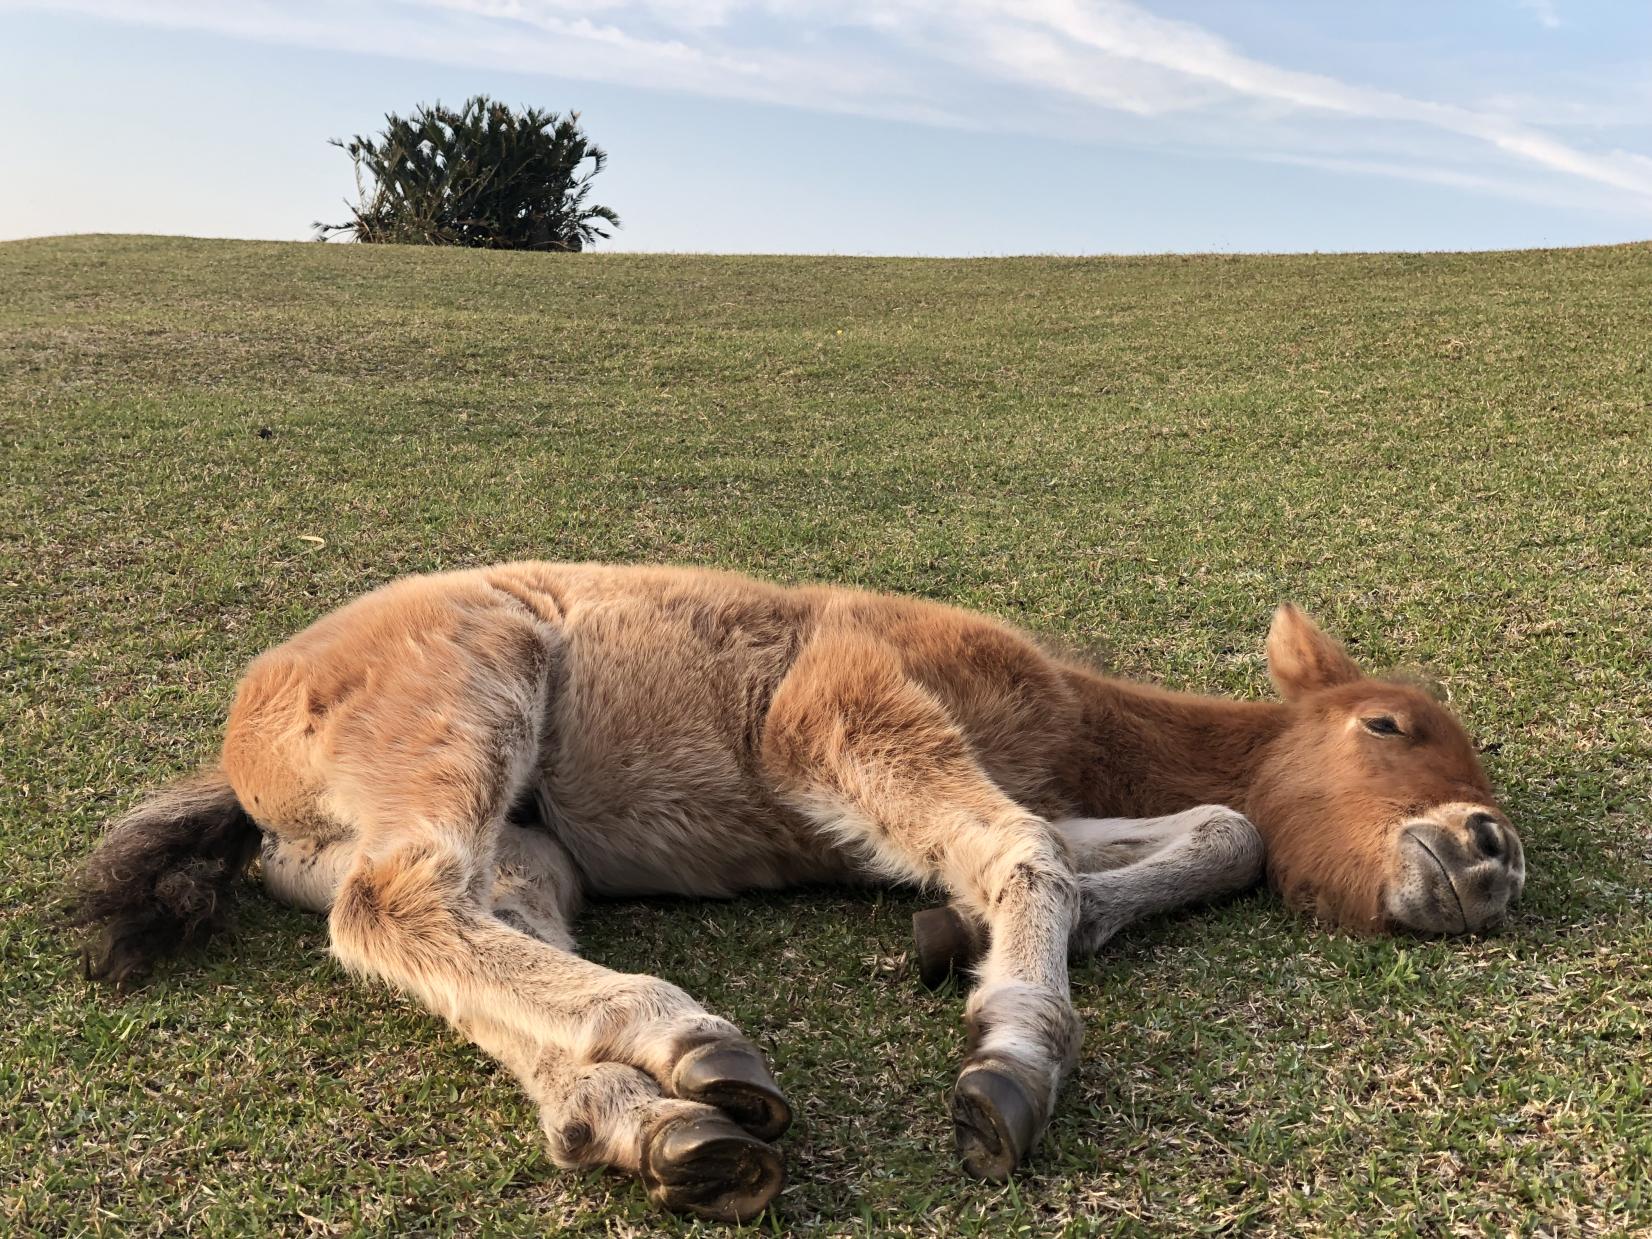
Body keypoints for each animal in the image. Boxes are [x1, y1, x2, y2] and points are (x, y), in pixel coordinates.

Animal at [68, 562, 1524, 1222]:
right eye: (1387, 725)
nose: (1490, 849)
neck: (1072, 716)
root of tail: (245, 744)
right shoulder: (842, 707)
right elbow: (1029, 851)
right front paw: (1010, 1061)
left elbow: (1218, 829)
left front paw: (956, 931)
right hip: (468, 690)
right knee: (395, 900)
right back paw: (685, 1042)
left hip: (527, 842)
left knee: (468, 928)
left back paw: (658, 1124)